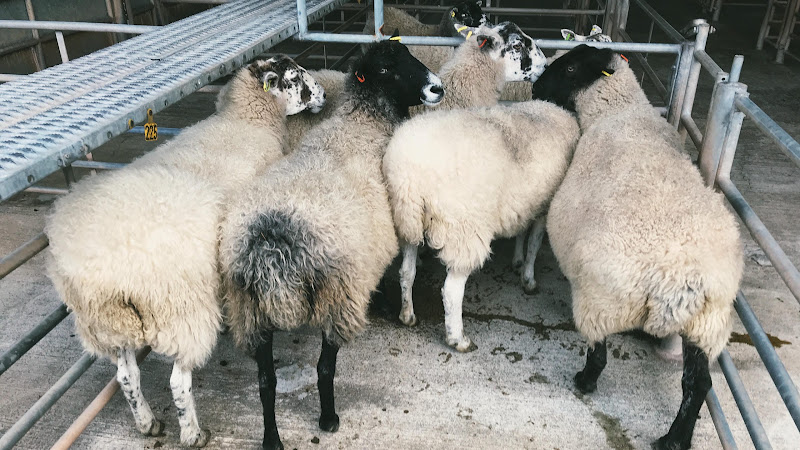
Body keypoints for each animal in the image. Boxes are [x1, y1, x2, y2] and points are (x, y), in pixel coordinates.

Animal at [44, 56, 325, 448]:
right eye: (296, 76)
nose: (324, 94)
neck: (244, 120)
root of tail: (109, 273)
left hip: (108, 322)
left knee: (126, 376)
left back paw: (148, 423)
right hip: (182, 310)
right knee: (178, 381)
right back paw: (193, 432)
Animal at [218, 39, 444, 450]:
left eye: (409, 55)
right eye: (386, 69)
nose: (438, 88)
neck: (363, 119)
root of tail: (273, 248)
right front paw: (386, 303)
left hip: (250, 312)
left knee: (266, 381)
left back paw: (272, 439)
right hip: (337, 297)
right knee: (324, 368)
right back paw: (328, 419)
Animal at [531, 44, 743, 450]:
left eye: (569, 67)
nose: (535, 88)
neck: (621, 110)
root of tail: (678, 281)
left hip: (599, 301)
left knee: (599, 355)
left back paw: (585, 382)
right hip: (707, 324)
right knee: (698, 384)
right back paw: (674, 440)